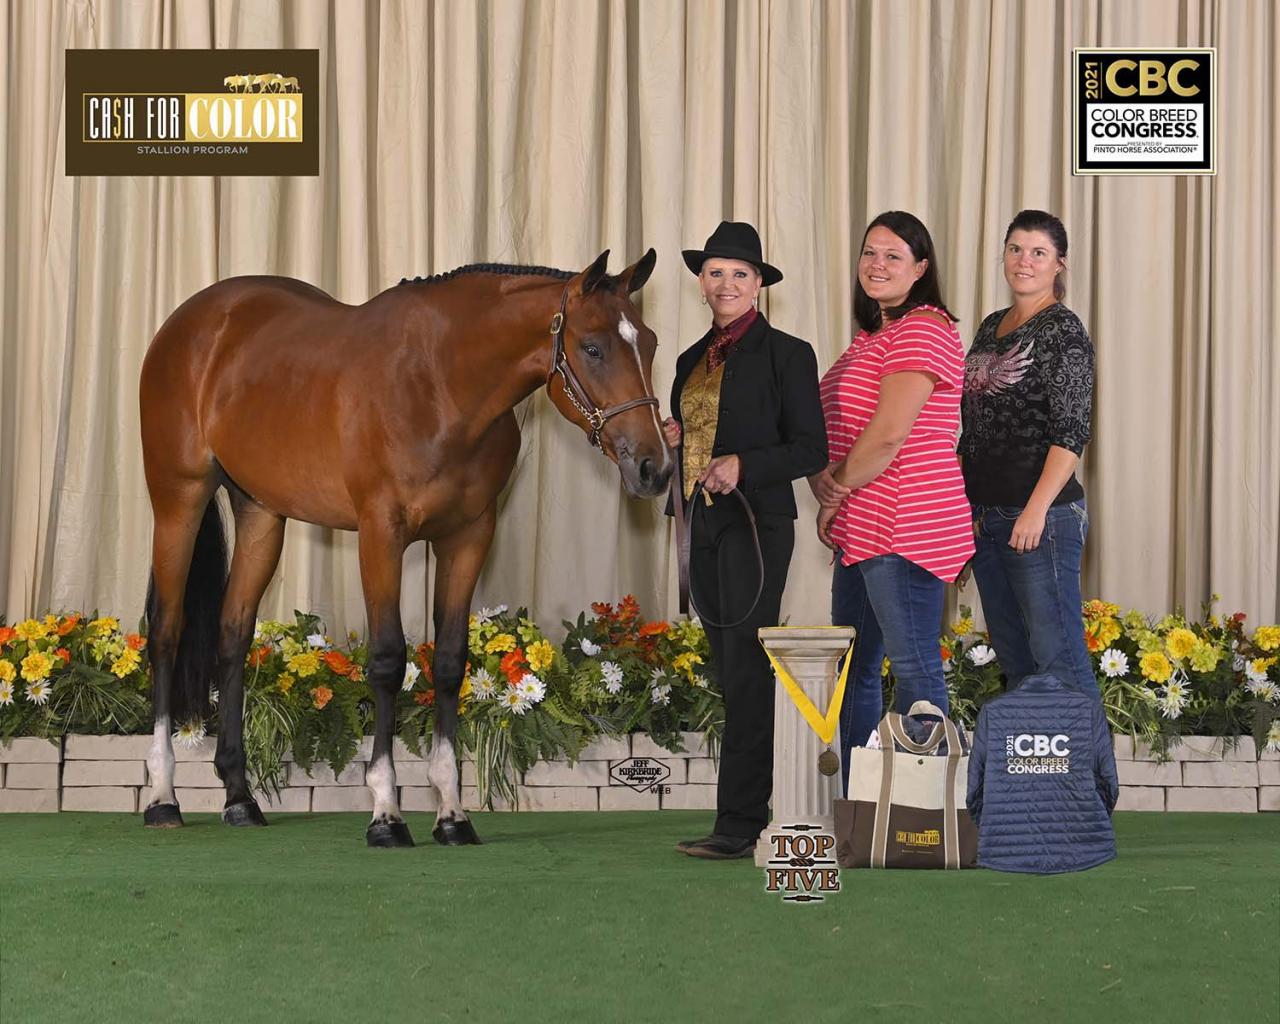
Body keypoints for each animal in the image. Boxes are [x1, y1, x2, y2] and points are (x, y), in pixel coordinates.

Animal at [139, 250, 672, 847]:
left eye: (650, 343)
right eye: (593, 347)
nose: (654, 468)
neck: (440, 386)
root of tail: (191, 322)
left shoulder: (468, 537)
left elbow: (450, 662)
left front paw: (452, 815)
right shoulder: (381, 533)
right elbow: (389, 660)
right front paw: (385, 812)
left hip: (260, 514)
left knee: (233, 634)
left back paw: (239, 798)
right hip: (177, 497)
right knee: (166, 631)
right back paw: (162, 796)